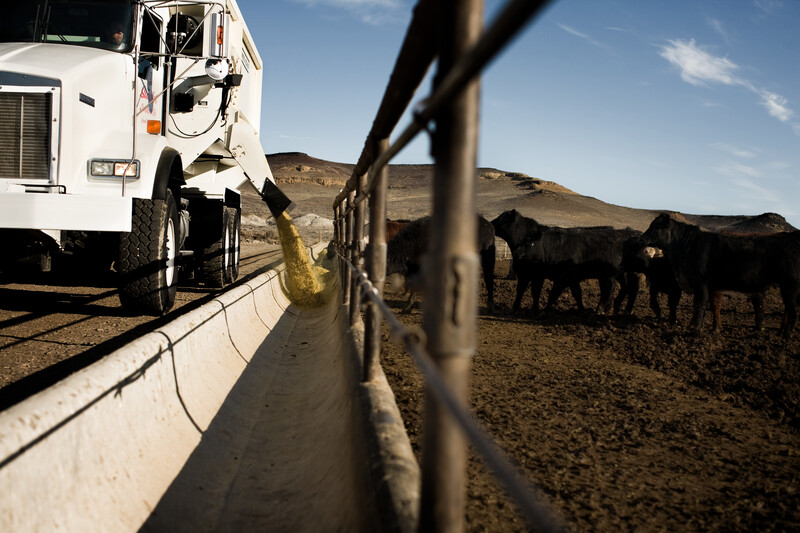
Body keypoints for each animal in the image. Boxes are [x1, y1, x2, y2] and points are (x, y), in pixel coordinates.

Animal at [490, 208, 640, 314]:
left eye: (502, 218)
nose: (490, 223)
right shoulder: (529, 274)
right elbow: (525, 291)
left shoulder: (559, 277)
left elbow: (552, 293)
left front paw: (542, 310)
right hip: (613, 275)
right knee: (619, 287)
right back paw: (613, 309)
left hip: (611, 275)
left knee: (616, 287)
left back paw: (608, 309)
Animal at [644, 212, 800, 336]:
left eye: (656, 226)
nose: (642, 238)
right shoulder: (712, 287)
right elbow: (712, 306)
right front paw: (713, 329)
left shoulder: (701, 284)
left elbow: (700, 304)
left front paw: (696, 329)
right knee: (788, 308)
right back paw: (781, 332)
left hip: (790, 285)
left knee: (792, 309)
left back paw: (786, 335)